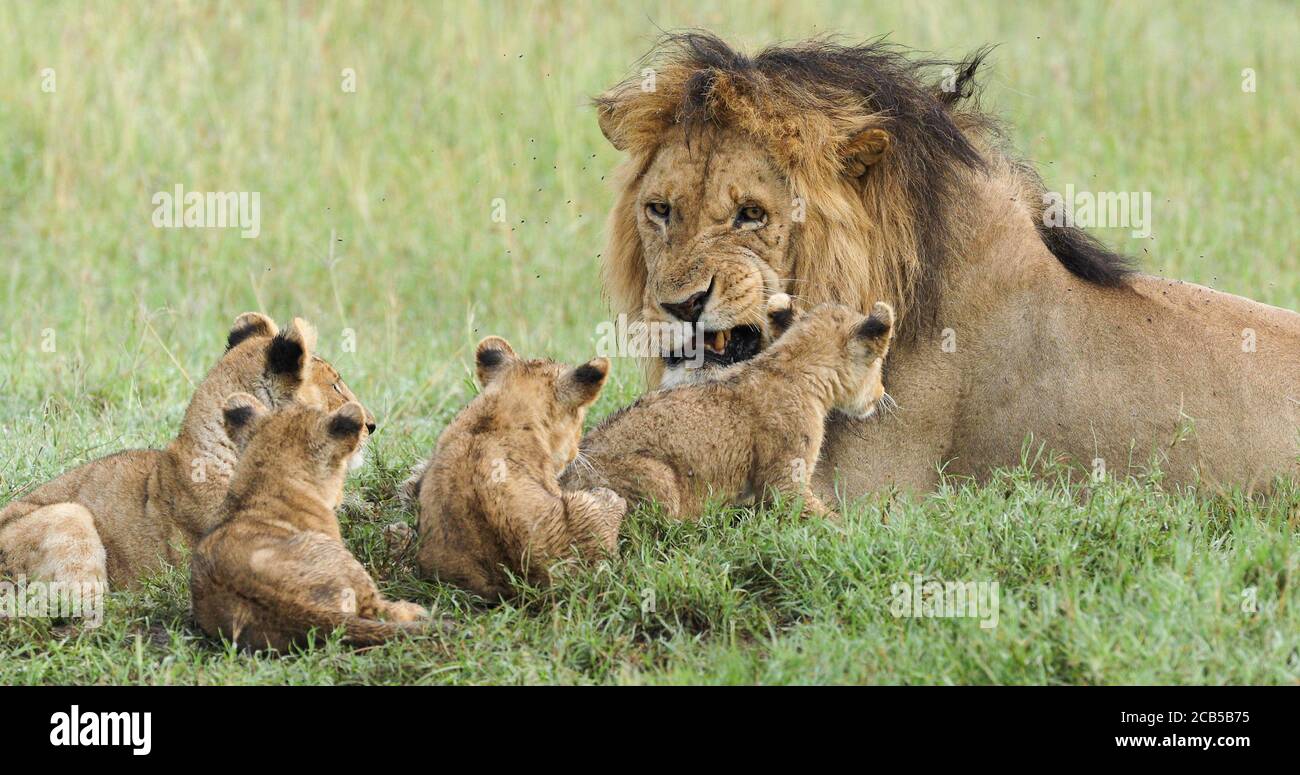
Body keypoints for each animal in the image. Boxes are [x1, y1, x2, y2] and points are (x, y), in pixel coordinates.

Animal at [559, 295, 894, 520]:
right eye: (879, 360)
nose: (882, 392)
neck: (791, 363)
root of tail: (561, 482)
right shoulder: (785, 481)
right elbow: (827, 521)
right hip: (659, 481)